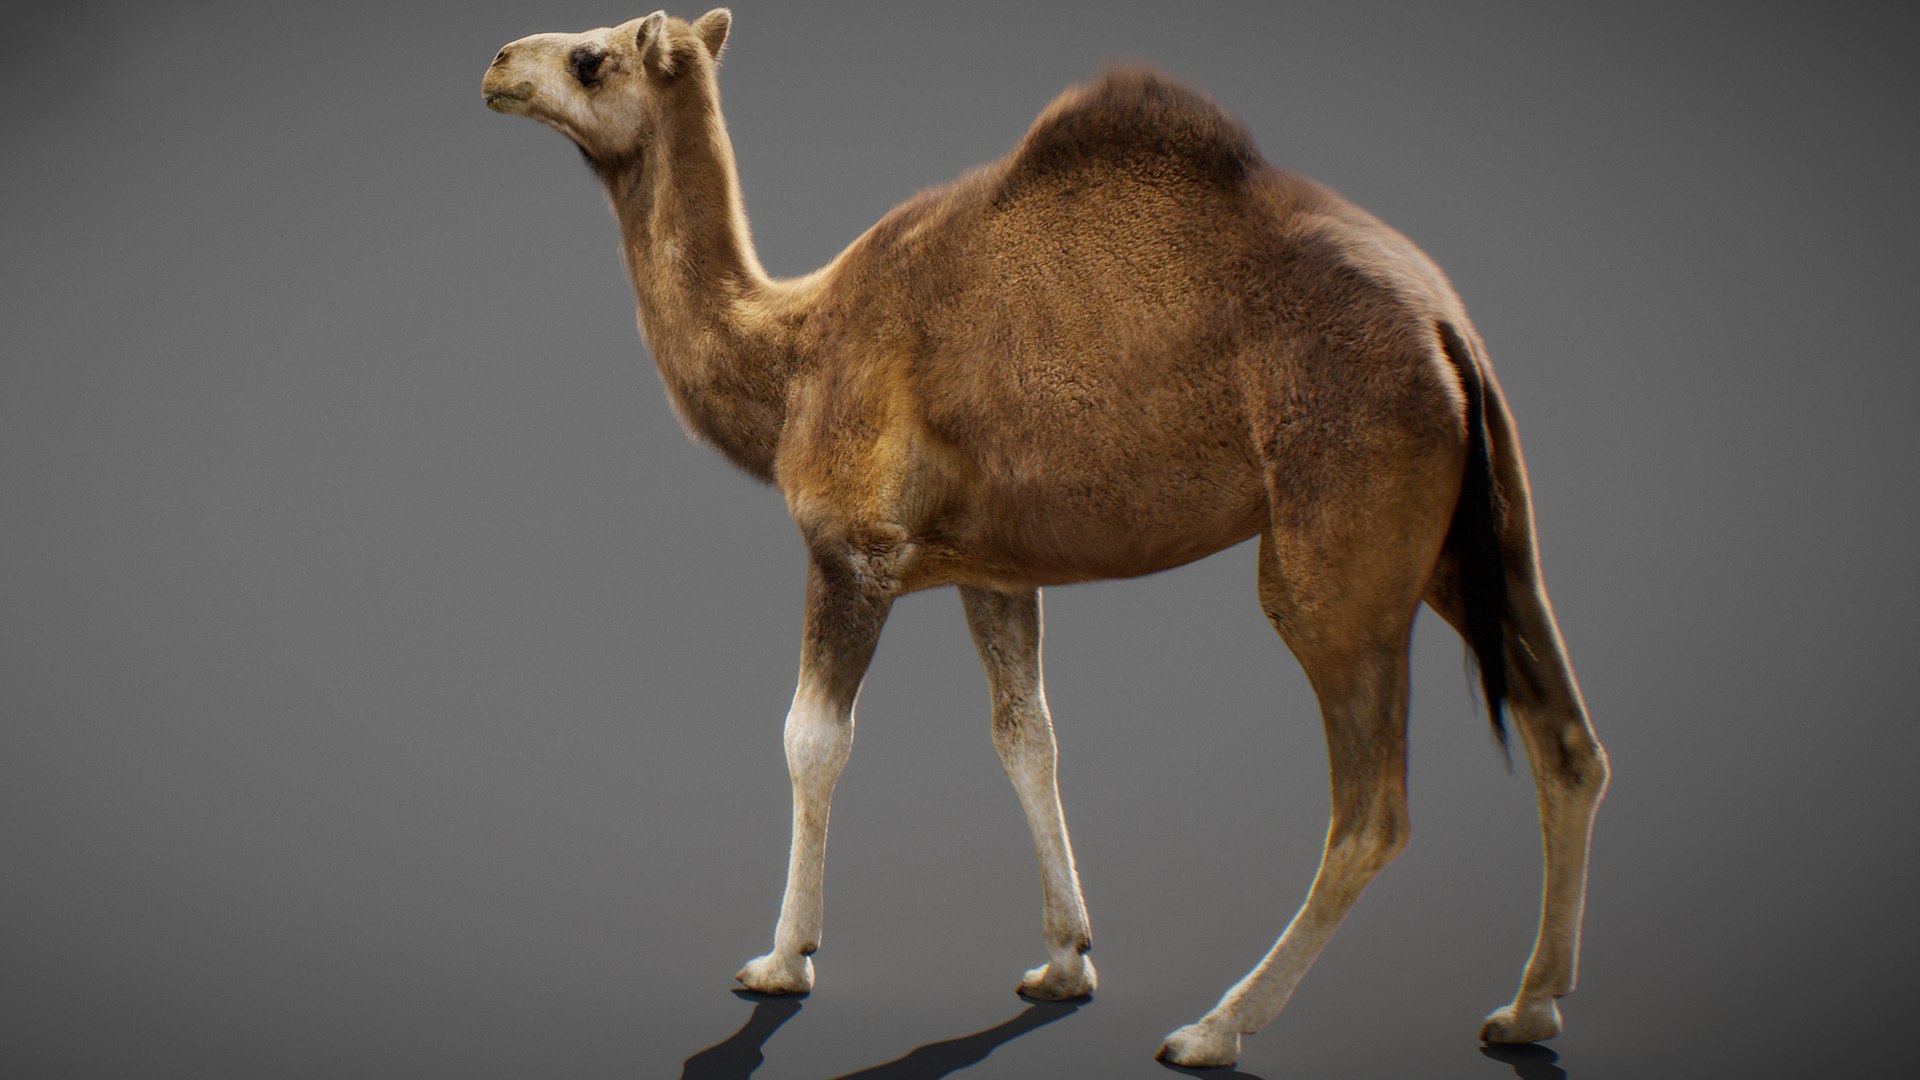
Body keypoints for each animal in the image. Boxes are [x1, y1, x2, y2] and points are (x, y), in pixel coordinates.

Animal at [481, 9, 1609, 1068]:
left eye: (592, 58)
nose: (496, 64)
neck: (795, 349)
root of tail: (1446, 331)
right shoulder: (993, 570)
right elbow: (1028, 735)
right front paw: (1067, 958)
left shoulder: (853, 548)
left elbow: (812, 740)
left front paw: (780, 960)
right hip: (1479, 539)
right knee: (1567, 741)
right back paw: (1526, 1009)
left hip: (1338, 535)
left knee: (1373, 805)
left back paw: (1216, 1027)